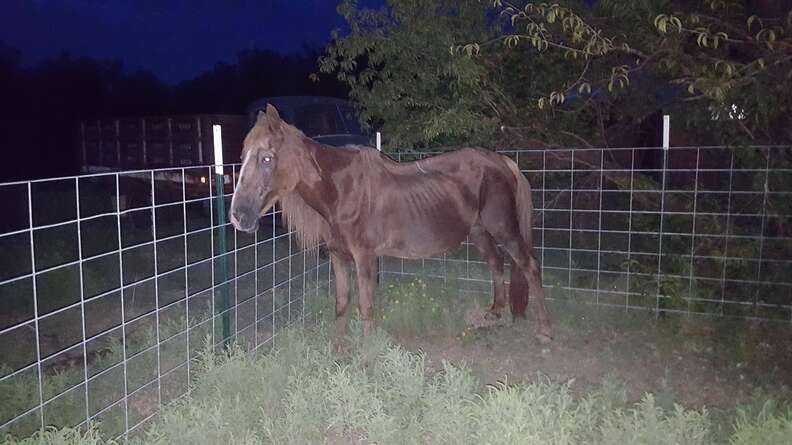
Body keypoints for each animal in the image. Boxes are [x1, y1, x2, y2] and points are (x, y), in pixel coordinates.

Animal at [229, 106, 552, 342]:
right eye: (243, 156)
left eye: (267, 158)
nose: (238, 216)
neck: (342, 191)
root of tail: (503, 162)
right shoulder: (337, 257)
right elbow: (342, 304)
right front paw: (338, 350)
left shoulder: (364, 257)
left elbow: (366, 306)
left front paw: (367, 351)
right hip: (480, 231)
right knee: (496, 264)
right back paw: (494, 314)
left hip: (503, 228)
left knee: (529, 266)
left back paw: (545, 331)